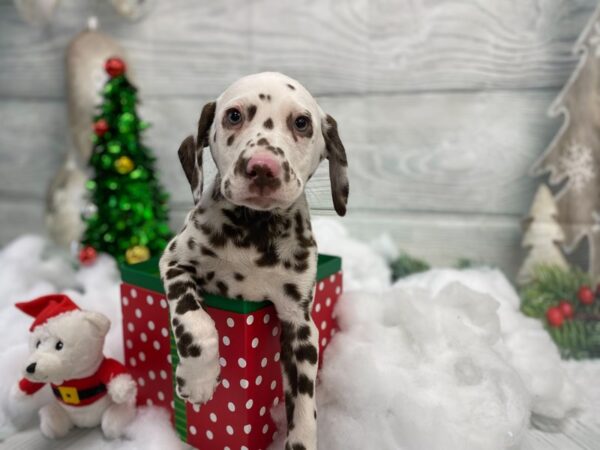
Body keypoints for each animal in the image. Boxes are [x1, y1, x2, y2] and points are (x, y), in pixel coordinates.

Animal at [159, 72, 350, 450]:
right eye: (233, 116)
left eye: (302, 123)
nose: (262, 168)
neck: (254, 230)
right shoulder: (175, 262)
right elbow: (196, 322)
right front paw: (199, 380)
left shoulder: (299, 324)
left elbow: (304, 406)